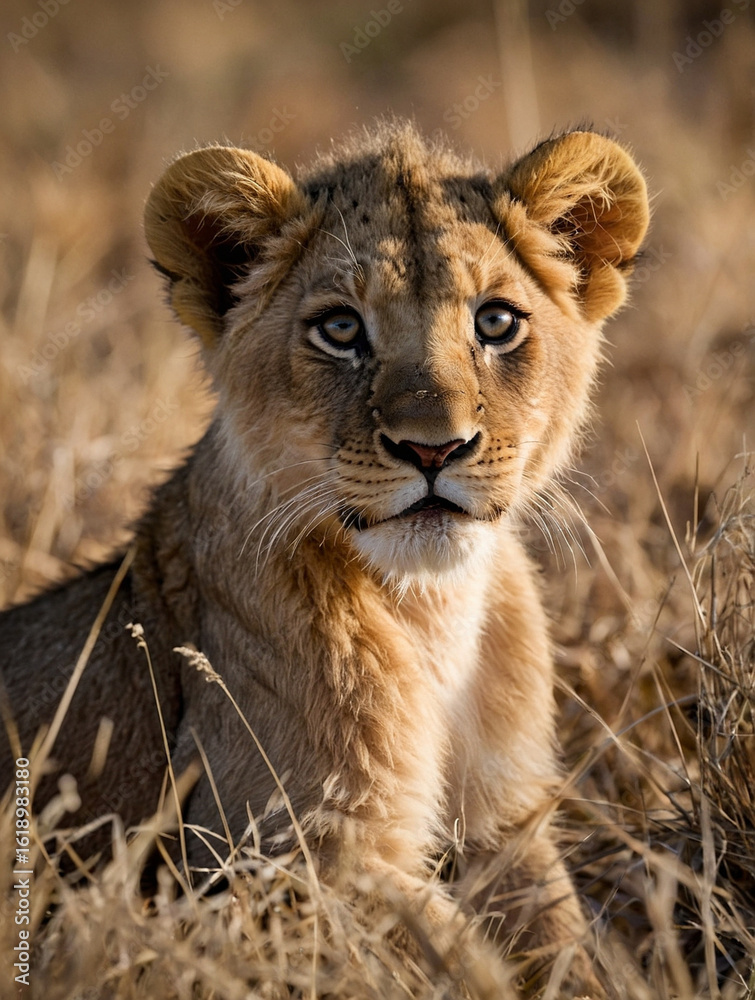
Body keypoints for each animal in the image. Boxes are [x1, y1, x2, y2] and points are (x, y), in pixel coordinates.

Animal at [0, 120, 648, 995]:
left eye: (495, 322)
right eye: (340, 329)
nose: (433, 447)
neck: (431, 609)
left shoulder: (508, 824)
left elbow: (566, 943)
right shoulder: (267, 862)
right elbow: (456, 957)